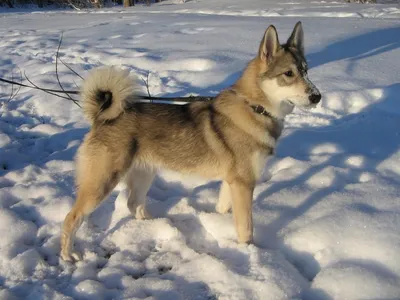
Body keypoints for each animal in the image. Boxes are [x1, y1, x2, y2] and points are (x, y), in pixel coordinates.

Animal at [60, 21, 322, 260]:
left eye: (306, 71)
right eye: (288, 74)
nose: (317, 96)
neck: (254, 107)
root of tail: (102, 117)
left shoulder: (231, 182)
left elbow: (223, 209)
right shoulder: (244, 184)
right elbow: (246, 228)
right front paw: (250, 253)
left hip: (144, 174)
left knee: (134, 204)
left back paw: (153, 224)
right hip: (102, 183)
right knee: (71, 218)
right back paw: (68, 256)